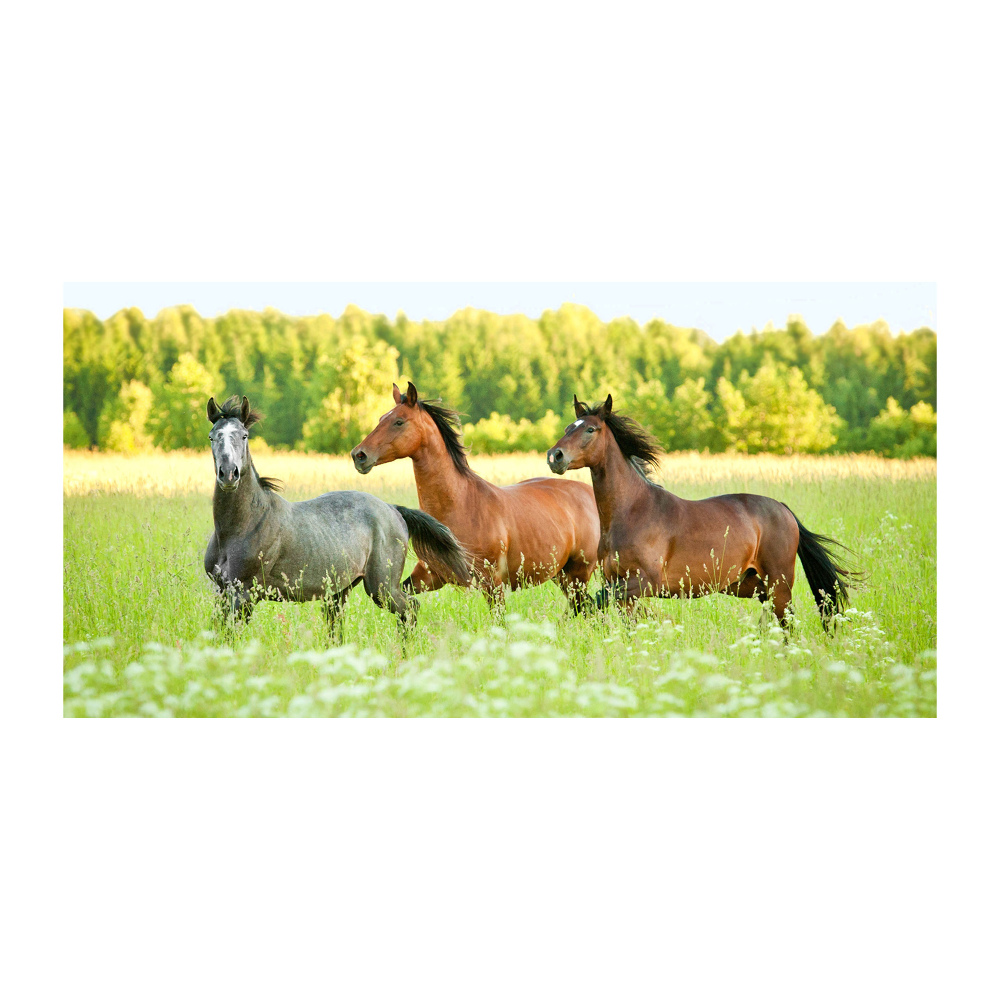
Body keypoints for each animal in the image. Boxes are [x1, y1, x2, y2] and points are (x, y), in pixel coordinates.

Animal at [204, 394, 472, 636]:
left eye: (244, 435)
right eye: (212, 436)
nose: (229, 474)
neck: (242, 526)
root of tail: (394, 509)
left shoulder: (244, 593)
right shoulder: (222, 592)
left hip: (382, 587)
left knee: (411, 608)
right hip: (340, 591)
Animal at [352, 382, 600, 612]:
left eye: (399, 421)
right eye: (381, 418)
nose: (359, 455)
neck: (461, 505)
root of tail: (589, 493)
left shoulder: (492, 583)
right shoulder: (428, 576)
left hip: (578, 574)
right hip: (563, 575)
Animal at [548, 394, 860, 628]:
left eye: (590, 429)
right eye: (567, 428)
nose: (555, 456)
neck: (632, 512)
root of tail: (783, 509)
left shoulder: (646, 582)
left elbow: (598, 600)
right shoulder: (621, 585)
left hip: (778, 584)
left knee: (788, 625)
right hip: (750, 585)